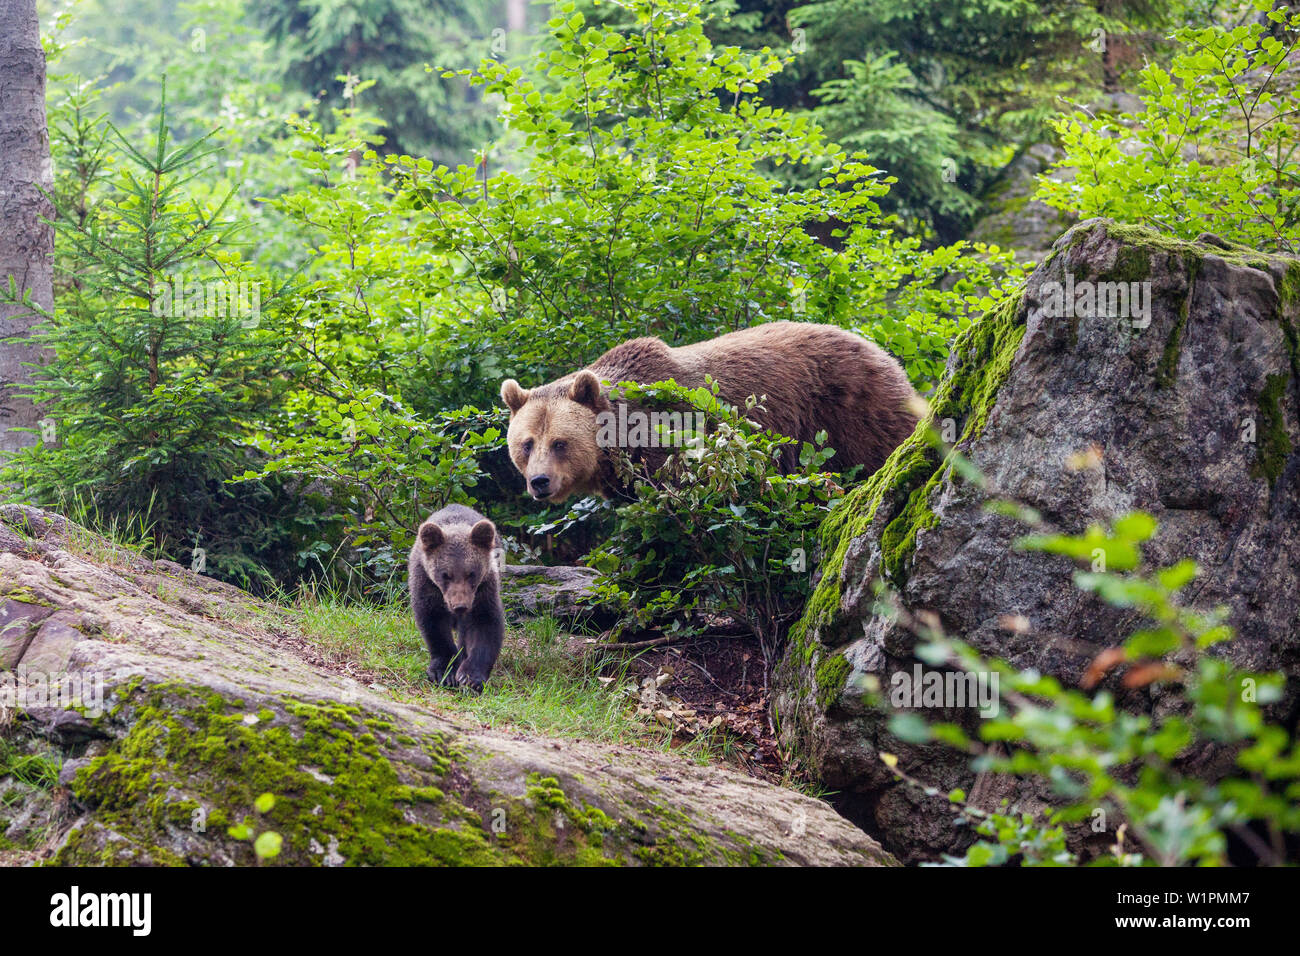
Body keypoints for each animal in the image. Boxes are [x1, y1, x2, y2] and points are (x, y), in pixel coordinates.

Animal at [407, 503, 505, 692]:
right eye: (445, 574)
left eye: (471, 573)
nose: (460, 605)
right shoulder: (427, 586)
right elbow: (434, 624)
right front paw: (445, 672)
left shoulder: (483, 591)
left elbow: (484, 625)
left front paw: (470, 677)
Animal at [499, 321, 919, 503]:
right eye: (526, 444)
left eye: (560, 442)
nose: (539, 481)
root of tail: (882, 350)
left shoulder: (673, 442)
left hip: (852, 410)